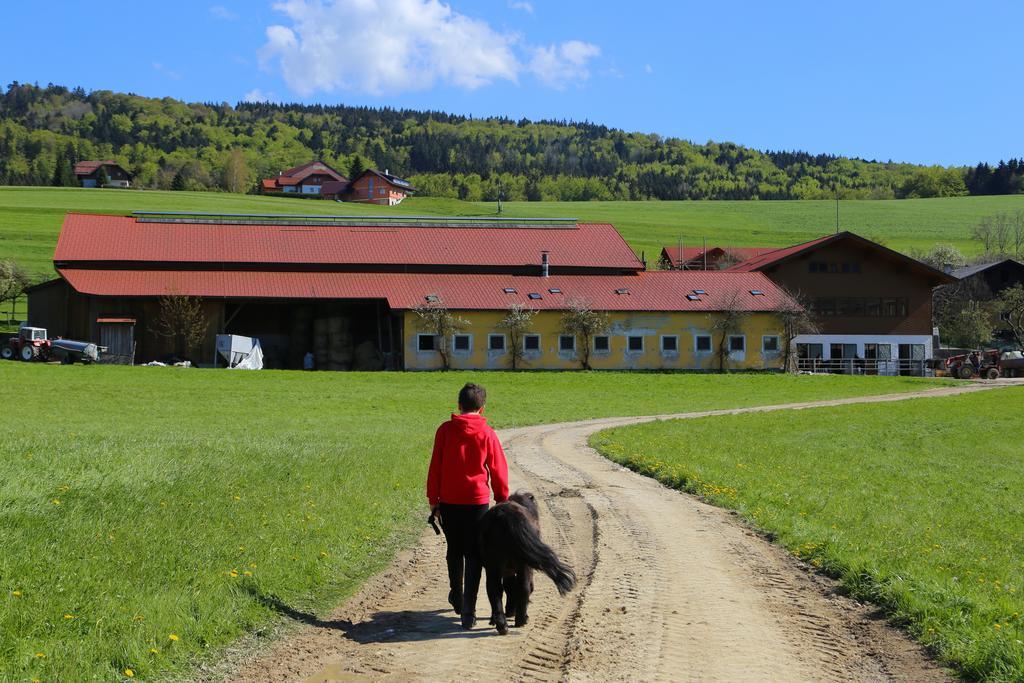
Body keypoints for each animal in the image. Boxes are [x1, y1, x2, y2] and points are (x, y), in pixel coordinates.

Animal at [475, 491, 573, 634]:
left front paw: (505, 613)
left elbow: (509, 587)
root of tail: (503, 516)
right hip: (523, 566)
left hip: (493, 567)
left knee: (494, 590)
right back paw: (521, 620)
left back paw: (501, 624)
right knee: (524, 587)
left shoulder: (506, 571)